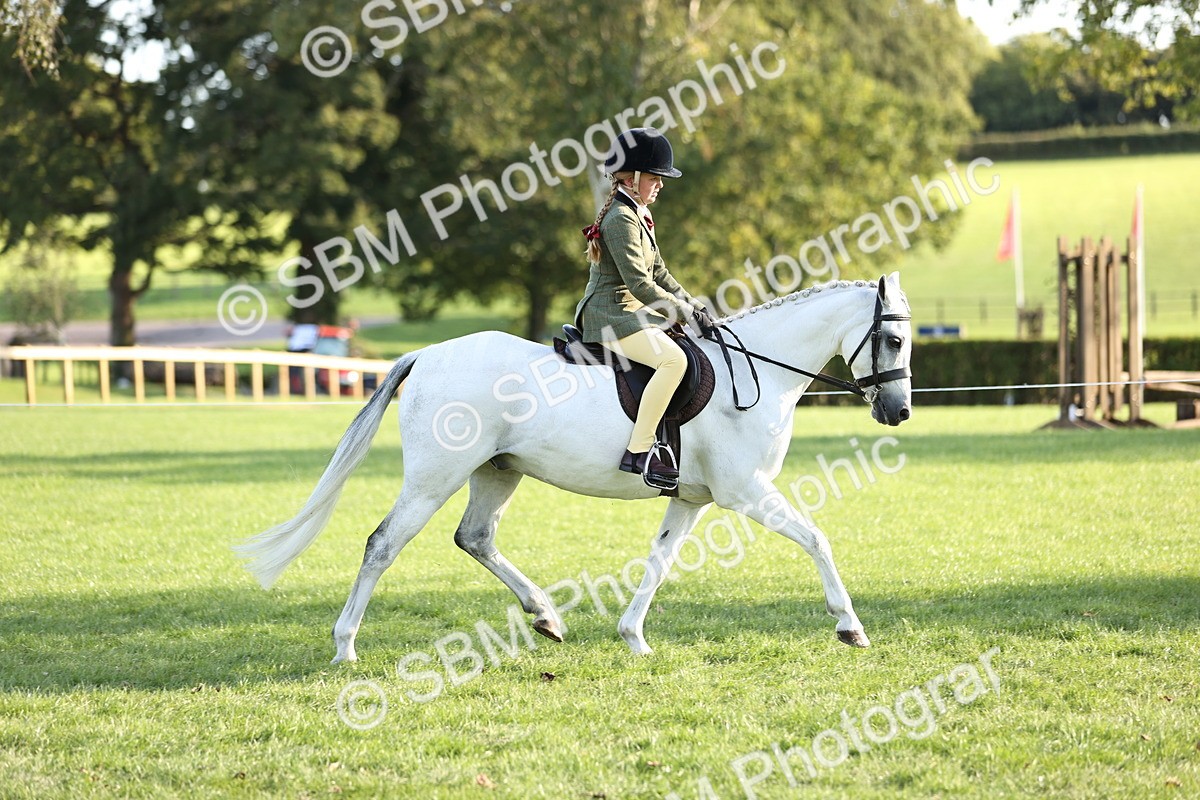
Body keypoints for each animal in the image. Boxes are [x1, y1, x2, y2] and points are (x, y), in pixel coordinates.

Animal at [236, 273, 913, 663]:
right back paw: (345, 647)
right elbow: (817, 540)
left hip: (498, 470)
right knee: (382, 544)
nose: (899, 410)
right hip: (435, 478)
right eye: (895, 340)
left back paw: (546, 616)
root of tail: (426, 355)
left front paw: (633, 637)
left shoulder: (691, 498)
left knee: (474, 537)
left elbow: (659, 560)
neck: (757, 372)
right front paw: (851, 627)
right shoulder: (745, 491)